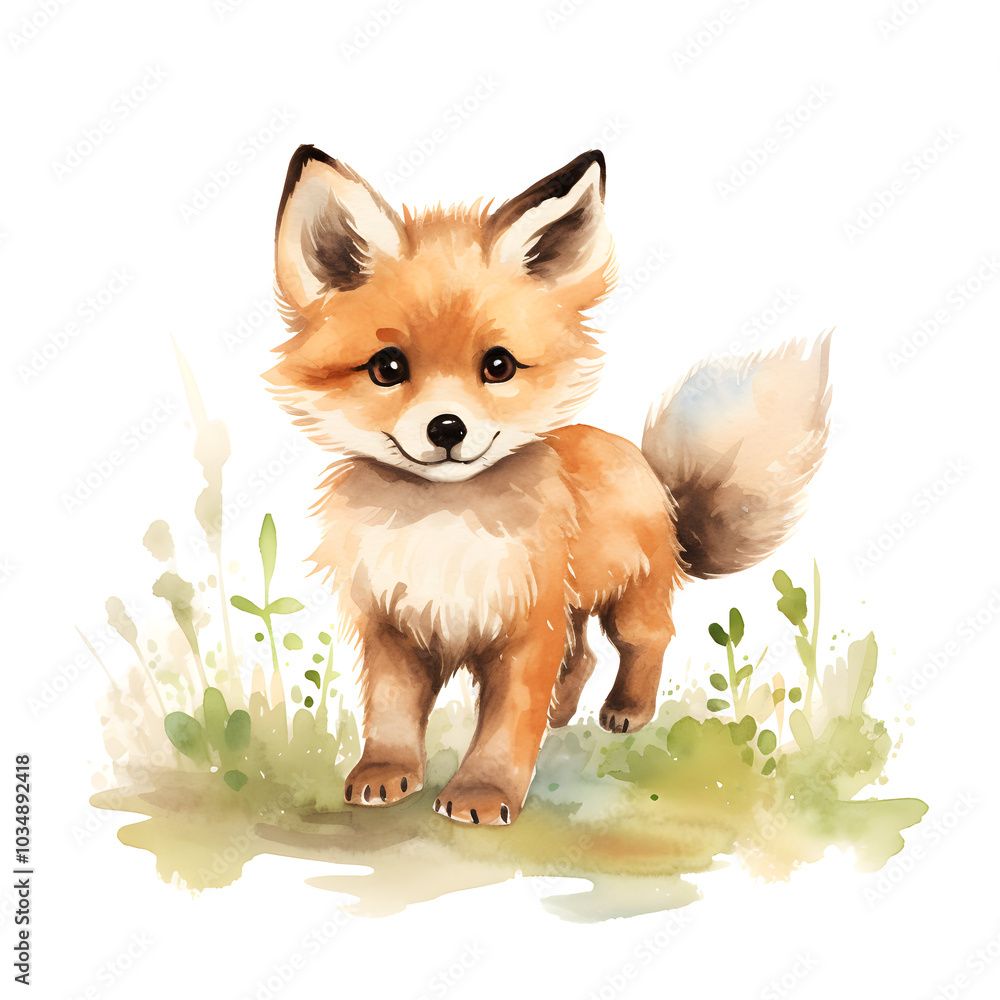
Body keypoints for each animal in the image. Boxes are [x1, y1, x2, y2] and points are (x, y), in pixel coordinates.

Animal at [265, 144, 831, 826]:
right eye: (388, 368)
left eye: (498, 366)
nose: (447, 426)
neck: (442, 526)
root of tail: (651, 472)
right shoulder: (396, 623)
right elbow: (392, 713)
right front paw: (385, 772)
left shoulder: (526, 625)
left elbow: (507, 725)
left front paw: (483, 793)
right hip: (573, 602)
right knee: (581, 656)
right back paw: (563, 713)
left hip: (627, 600)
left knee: (646, 641)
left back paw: (627, 709)